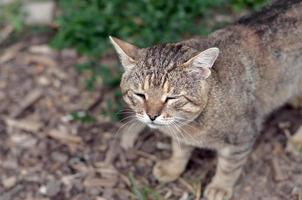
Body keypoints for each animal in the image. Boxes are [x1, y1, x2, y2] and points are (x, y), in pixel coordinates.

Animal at [109, 0, 302, 199]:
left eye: (171, 97)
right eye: (140, 94)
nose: (152, 115)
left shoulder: (242, 137)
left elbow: (229, 167)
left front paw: (220, 186)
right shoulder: (180, 135)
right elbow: (179, 151)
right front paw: (172, 168)